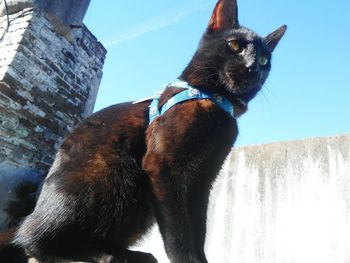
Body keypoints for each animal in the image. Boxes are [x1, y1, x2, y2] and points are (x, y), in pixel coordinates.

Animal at [0, 0, 284, 262]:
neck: (212, 98)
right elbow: (178, 231)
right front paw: (186, 259)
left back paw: (125, 253)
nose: (253, 68)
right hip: (111, 174)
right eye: (235, 46)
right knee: (35, 242)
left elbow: (198, 229)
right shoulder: (163, 166)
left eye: (264, 60)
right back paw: (106, 255)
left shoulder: (202, 180)